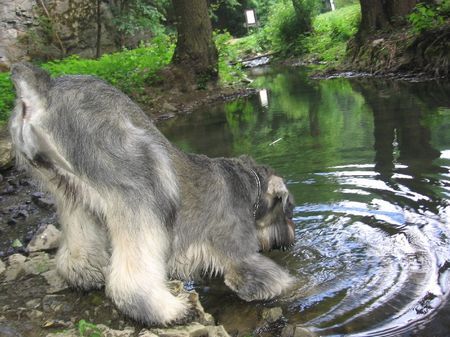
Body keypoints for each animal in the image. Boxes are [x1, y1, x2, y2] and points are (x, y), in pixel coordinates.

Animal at [8, 63, 298, 326]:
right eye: (289, 209)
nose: (290, 240)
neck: (248, 188)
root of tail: (43, 90)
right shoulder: (240, 256)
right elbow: (272, 280)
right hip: (144, 182)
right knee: (130, 281)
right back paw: (170, 311)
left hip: (68, 192)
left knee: (78, 241)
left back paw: (85, 275)